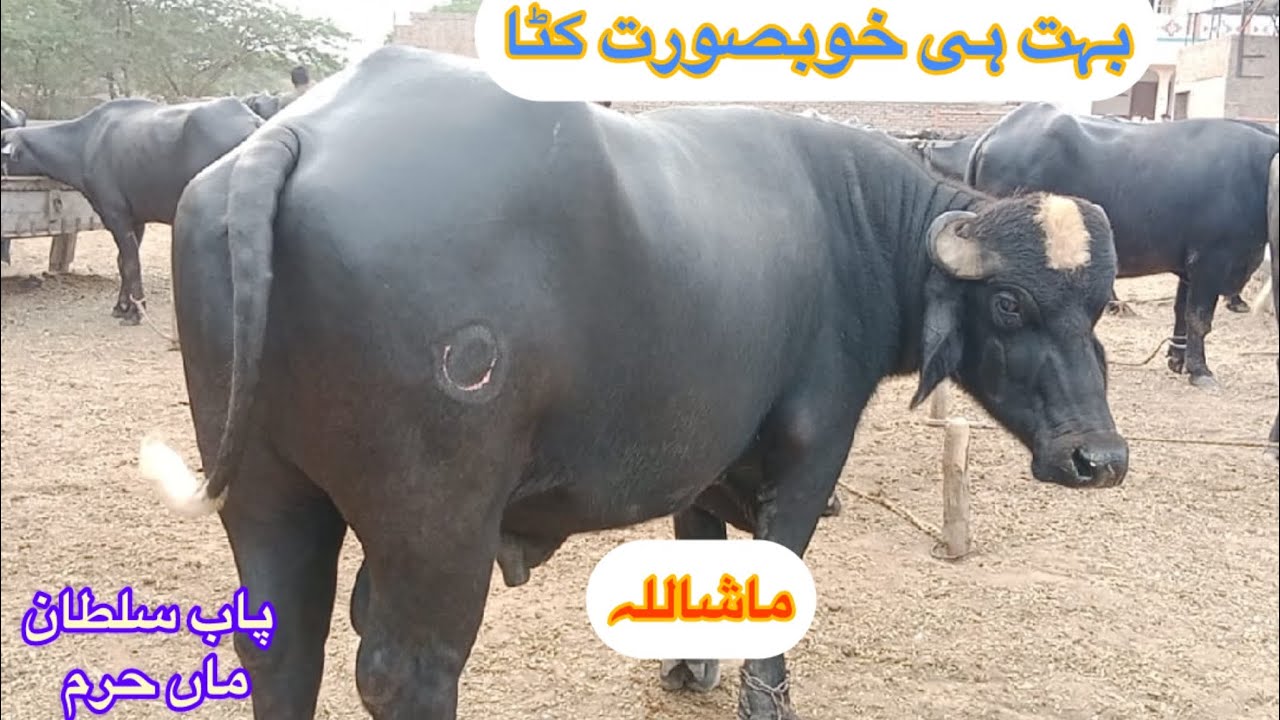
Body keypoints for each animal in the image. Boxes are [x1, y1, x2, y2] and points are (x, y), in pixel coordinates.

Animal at [0, 96, 263, 323]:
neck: (85, 143)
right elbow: (123, 261)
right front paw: (123, 306)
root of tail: (254, 122)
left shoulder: (116, 215)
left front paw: (136, 311)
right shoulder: (136, 219)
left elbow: (130, 262)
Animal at [136, 46, 1129, 720]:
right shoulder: (811, 452)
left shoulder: (702, 458)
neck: (855, 229)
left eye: (1099, 305)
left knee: (283, 643)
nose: (1100, 457)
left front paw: (687, 668)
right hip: (435, 519)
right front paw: (765, 695)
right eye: (1008, 304)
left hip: (267, 496)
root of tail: (288, 137)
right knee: (407, 668)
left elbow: (700, 548)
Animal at [965, 102, 1280, 389]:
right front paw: (1200, 370)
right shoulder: (1211, 260)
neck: (1256, 173)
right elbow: (1199, 318)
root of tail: (994, 133)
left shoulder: (1189, 266)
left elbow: (1181, 311)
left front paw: (1177, 359)